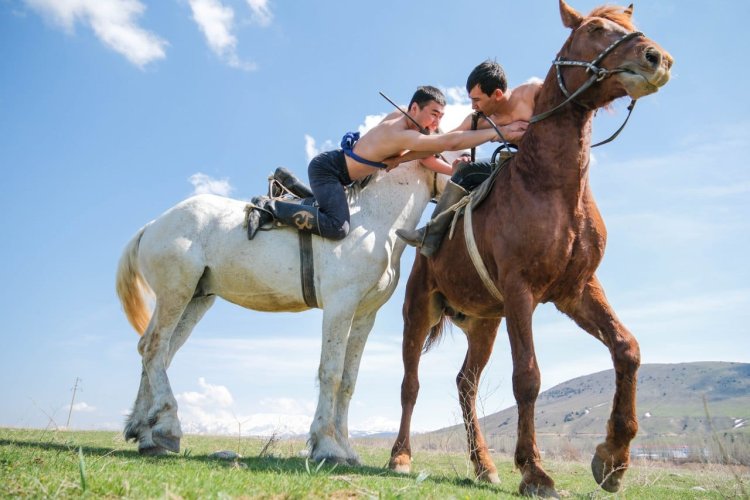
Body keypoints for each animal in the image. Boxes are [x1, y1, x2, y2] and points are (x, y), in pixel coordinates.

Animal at [114, 158, 450, 462]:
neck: (372, 220)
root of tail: (152, 226)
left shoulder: (364, 315)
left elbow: (348, 380)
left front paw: (346, 449)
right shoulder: (340, 305)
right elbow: (331, 373)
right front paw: (327, 447)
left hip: (196, 298)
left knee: (156, 351)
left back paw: (145, 432)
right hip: (176, 292)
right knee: (155, 348)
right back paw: (167, 427)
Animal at [390, 1, 672, 498]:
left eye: (631, 25)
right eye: (595, 28)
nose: (656, 58)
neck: (550, 186)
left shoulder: (576, 291)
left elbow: (627, 349)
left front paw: (613, 459)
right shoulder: (522, 293)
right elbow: (528, 378)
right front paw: (535, 471)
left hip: (484, 323)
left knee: (465, 384)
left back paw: (483, 464)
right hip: (419, 310)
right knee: (411, 384)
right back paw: (401, 457)